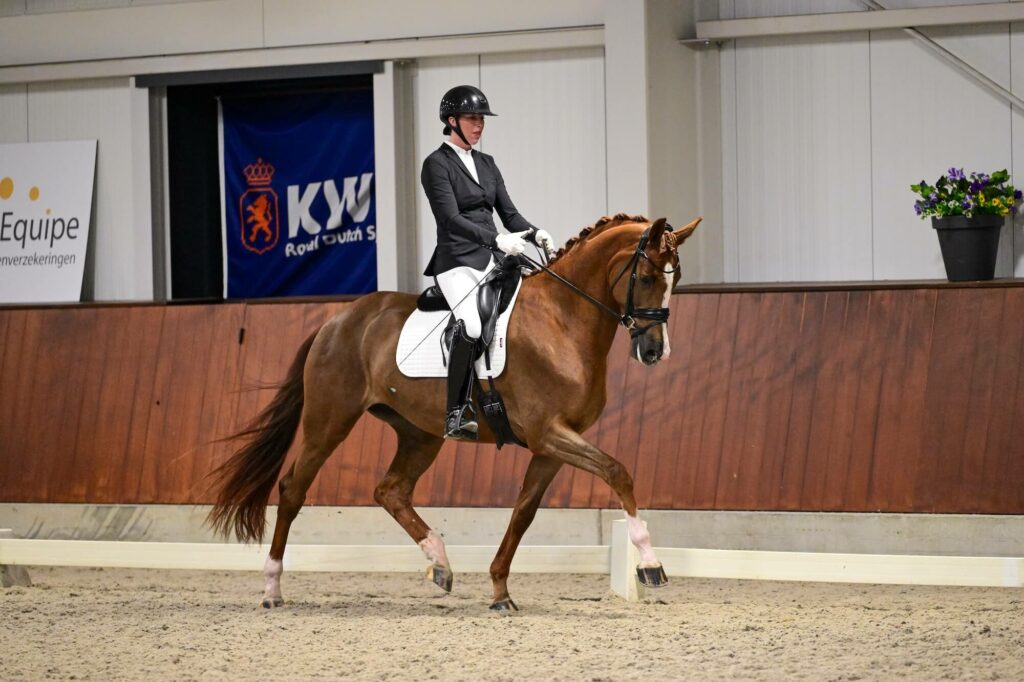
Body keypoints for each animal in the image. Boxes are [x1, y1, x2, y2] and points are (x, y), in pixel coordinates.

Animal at [207, 213, 701, 610]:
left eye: (675, 279)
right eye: (646, 277)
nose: (654, 352)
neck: (562, 320)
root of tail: (336, 320)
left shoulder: (551, 446)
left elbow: (524, 512)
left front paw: (500, 591)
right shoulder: (549, 433)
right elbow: (618, 472)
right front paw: (650, 564)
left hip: (419, 433)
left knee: (390, 490)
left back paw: (440, 563)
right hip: (329, 419)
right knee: (293, 489)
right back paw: (272, 589)